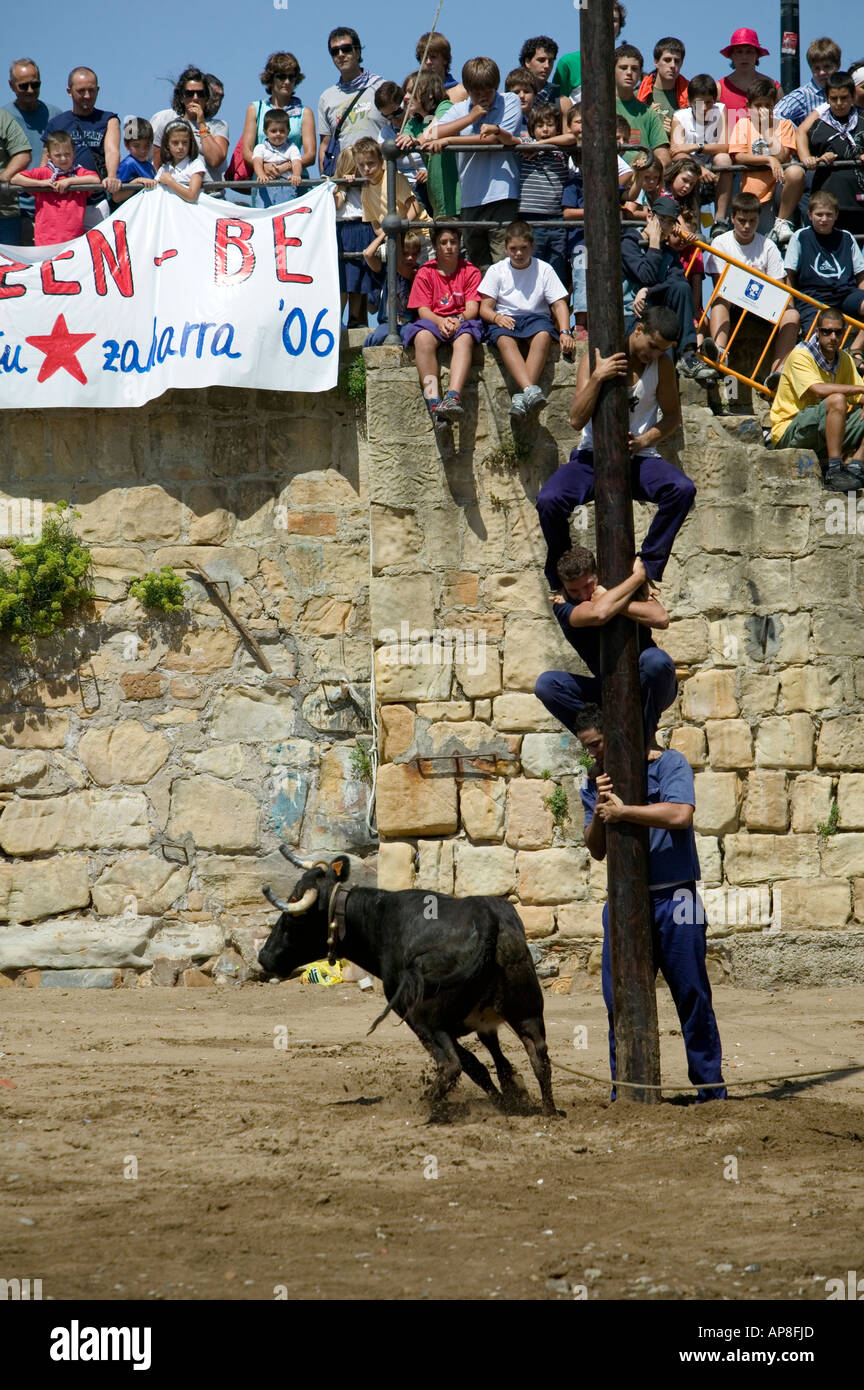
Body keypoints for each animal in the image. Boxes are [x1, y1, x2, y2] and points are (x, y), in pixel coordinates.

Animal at [258, 850, 561, 1123]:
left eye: (294, 914)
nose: (264, 956)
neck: (378, 920)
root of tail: (487, 918)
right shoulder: (484, 1024)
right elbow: (495, 1063)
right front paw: (512, 1097)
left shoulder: (425, 1021)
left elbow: (473, 1065)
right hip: (527, 1011)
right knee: (539, 1058)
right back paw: (549, 1112)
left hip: (425, 1021)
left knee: (452, 1065)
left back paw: (427, 1108)